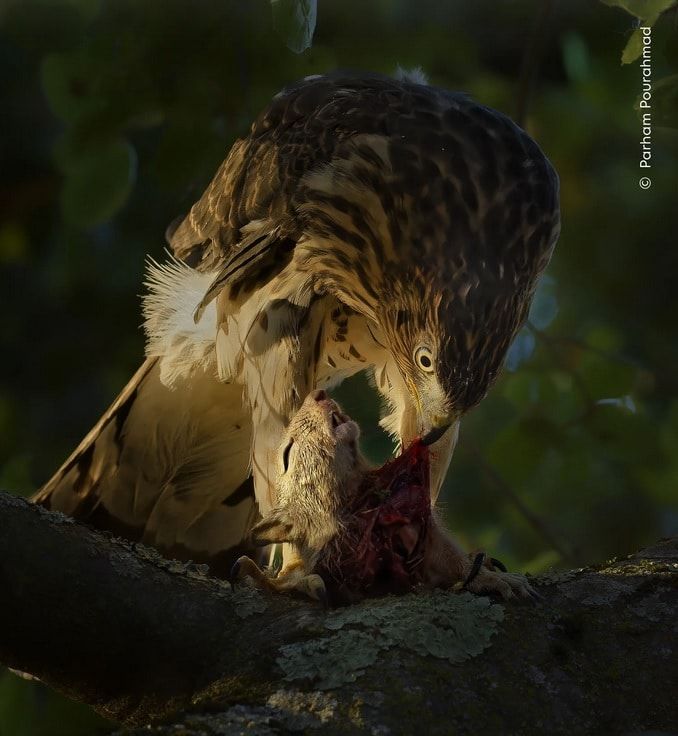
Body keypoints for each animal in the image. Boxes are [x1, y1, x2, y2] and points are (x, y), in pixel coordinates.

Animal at [232, 392, 536, 604]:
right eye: (287, 454)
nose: (317, 394)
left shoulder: (426, 534)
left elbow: (449, 560)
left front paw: (489, 577)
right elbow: (292, 574)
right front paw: (281, 580)